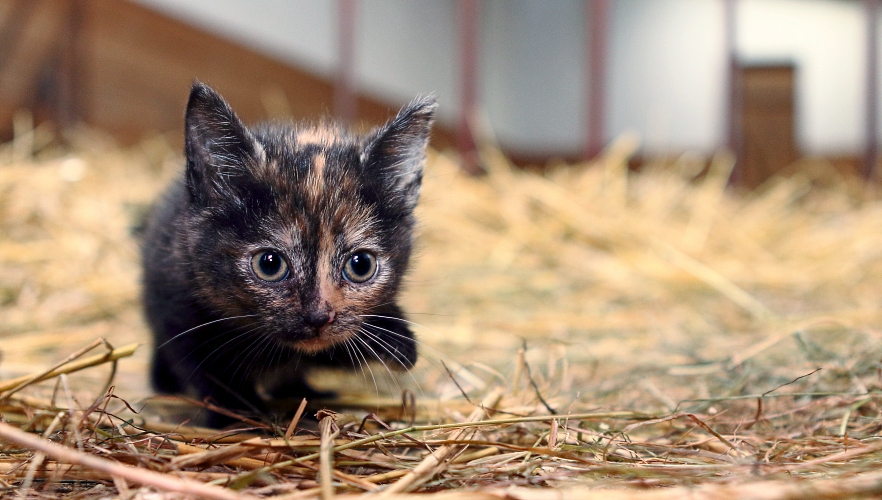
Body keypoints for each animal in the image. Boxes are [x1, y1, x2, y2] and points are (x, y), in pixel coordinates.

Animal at [143, 83, 434, 426]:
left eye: (361, 265)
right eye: (269, 264)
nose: (318, 317)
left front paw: (397, 339)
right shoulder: (178, 305)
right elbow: (209, 371)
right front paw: (239, 415)